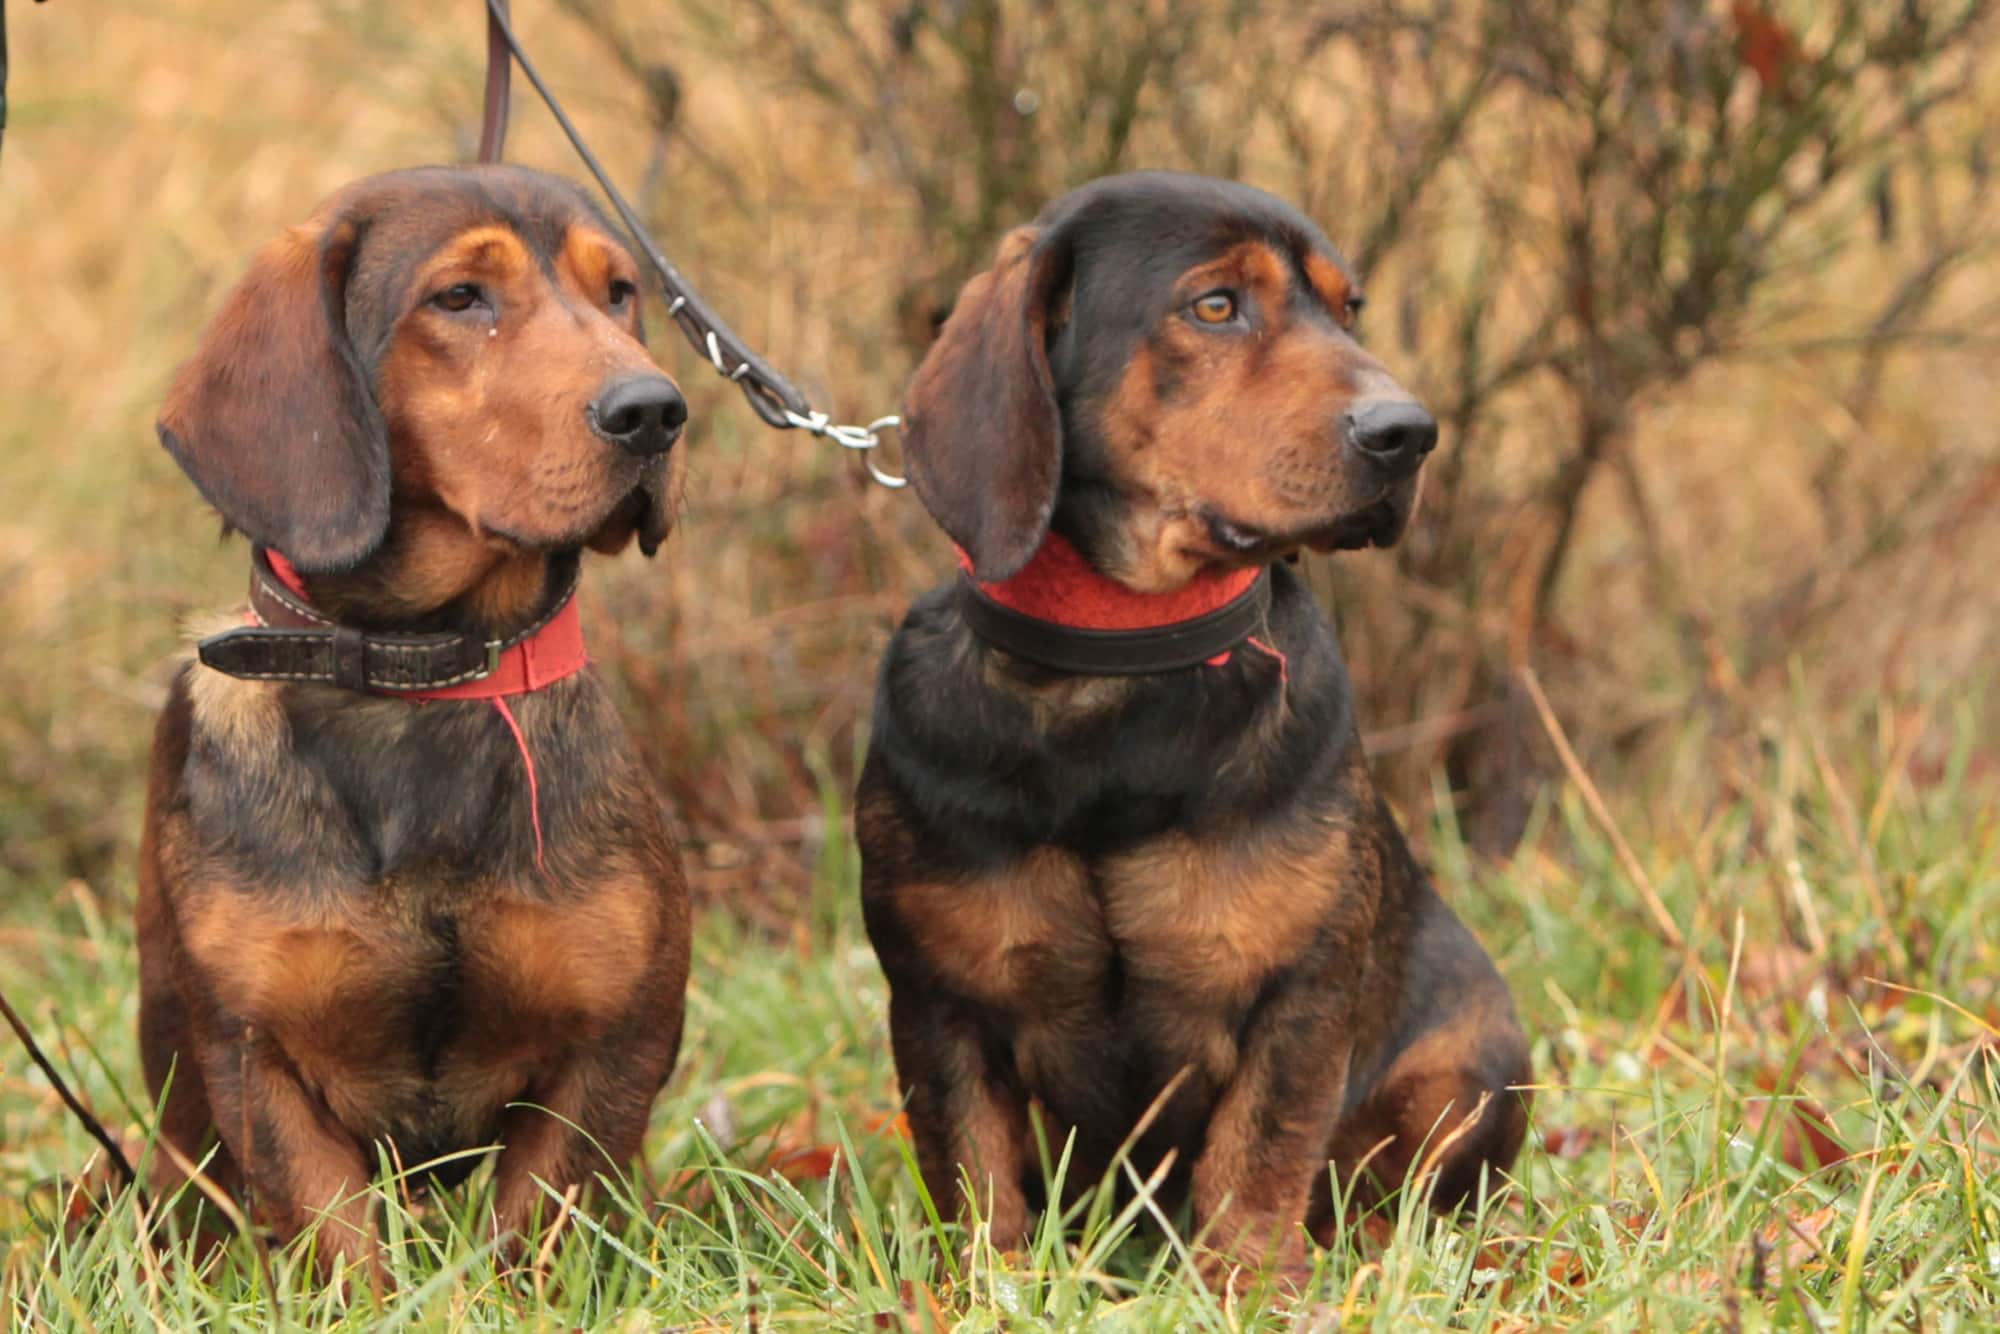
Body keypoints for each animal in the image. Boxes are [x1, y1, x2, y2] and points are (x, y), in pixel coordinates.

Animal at [137, 164, 692, 1272]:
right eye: (460, 298)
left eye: (618, 293)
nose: (656, 410)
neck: (425, 681)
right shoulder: (256, 1059)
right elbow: (341, 1243)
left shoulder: (617, 1041)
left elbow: (536, 1236)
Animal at [860, 172, 1528, 1280]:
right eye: (1215, 305)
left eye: (1348, 309)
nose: (1408, 432)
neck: (1123, 662)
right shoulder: (938, 998)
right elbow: (973, 1172)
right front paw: (984, 1287)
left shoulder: (1299, 992)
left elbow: (1258, 1155)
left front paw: (1254, 1285)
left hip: (1471, 1060)